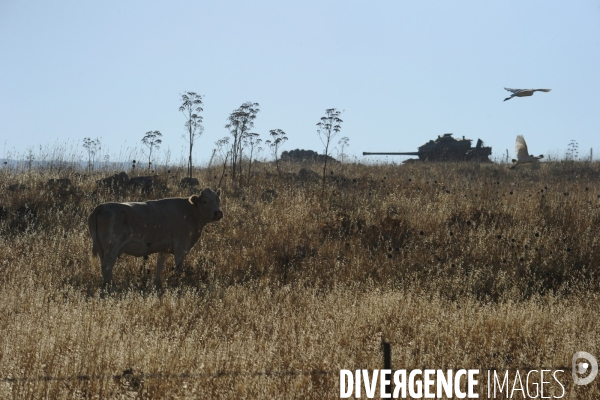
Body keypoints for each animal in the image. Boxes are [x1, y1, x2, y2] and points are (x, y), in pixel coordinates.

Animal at [86, 188, 223, 288]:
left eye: (218, 200)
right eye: (205, 201)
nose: (218, 213)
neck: (190, 212)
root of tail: (101, 207)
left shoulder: (164, 249)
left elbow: (159, 266)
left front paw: (157, 283)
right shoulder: (180, 248)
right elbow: (178, 269)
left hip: (102, 249)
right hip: (112, 249)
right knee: (107, 266)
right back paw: (110, 286)